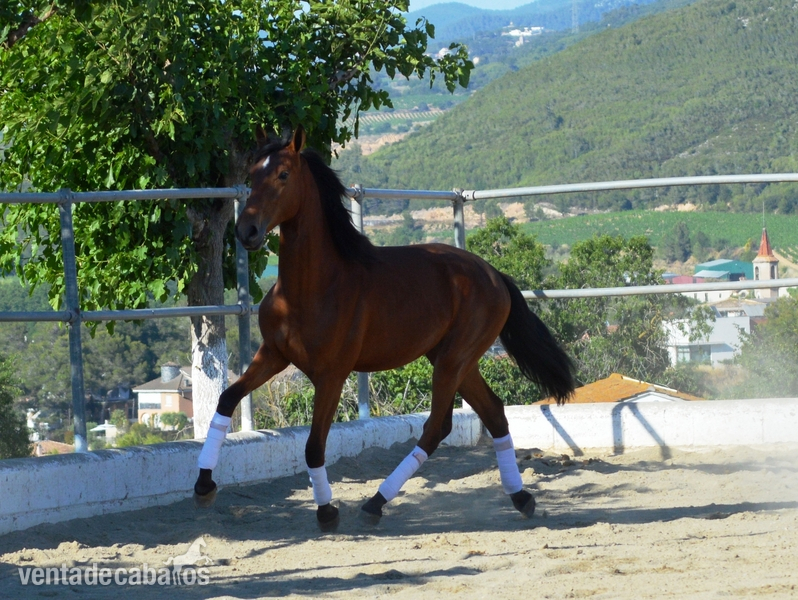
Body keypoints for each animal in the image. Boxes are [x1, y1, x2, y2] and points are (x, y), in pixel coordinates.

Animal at [193, 126, 575, 531]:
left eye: (283, 175)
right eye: (252, 175)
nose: (246, 231)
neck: (313, 287)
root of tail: (494, 275)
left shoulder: (332, 375)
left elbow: (313, 446)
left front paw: (327, 512)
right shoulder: (274, 355)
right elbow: (227, 398)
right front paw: (203, 486)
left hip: (453, 361)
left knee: (436, 428)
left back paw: (375, 503)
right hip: (455, 360)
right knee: (494, 413)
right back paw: (521, 498)